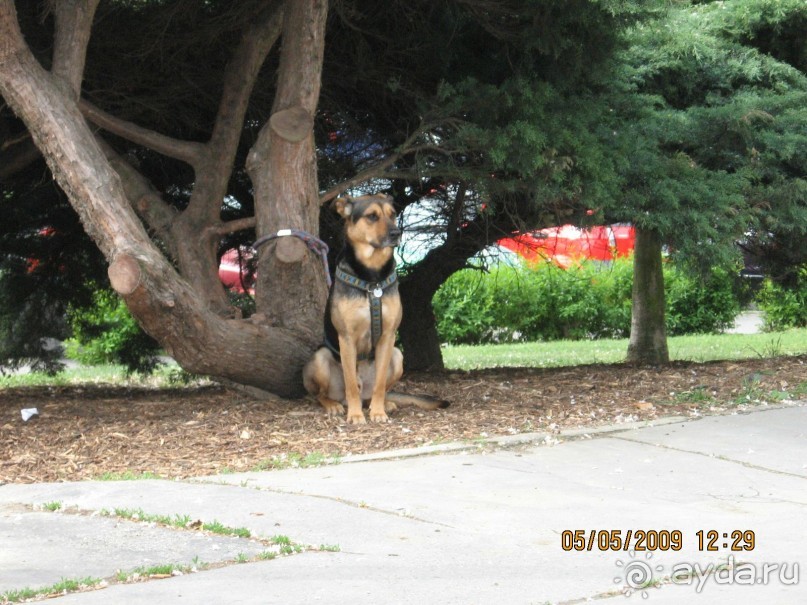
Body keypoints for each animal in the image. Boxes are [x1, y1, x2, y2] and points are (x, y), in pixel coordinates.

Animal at [304, 193, 448, 424]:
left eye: (393, 214)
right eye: (372, 216)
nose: (396, 233)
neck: (373, 278)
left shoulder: (388, 336)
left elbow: (380, 384)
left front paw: (378, 412)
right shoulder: (346, 338)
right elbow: (351, 385)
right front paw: (355, 415)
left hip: (397, 356)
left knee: (378, 390)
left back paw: (382, 403)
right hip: (320, 358)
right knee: (321, 394)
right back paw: (334, 405)